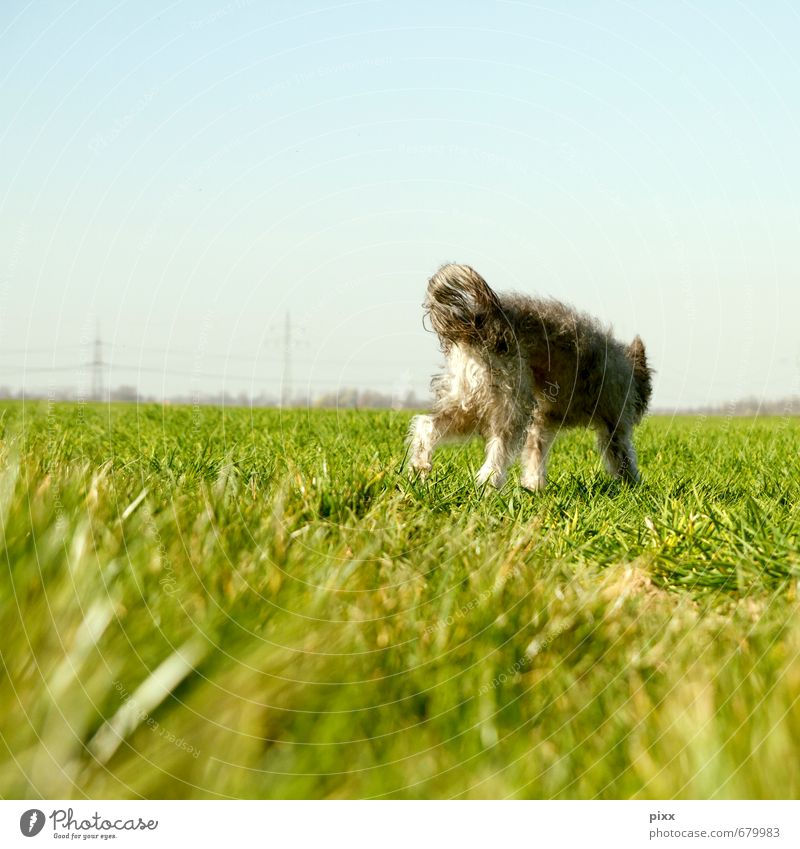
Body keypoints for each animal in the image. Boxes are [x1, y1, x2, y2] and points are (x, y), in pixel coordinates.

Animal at [410, 264, 652, 490]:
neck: (628, 369)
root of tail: (482, 322)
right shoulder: (615, 423)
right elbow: (623, 458)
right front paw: (634, 488)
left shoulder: (541, 424)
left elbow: (535, 454)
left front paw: (533, 488)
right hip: (510, 404)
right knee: (496, 454)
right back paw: (489, 486)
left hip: (467, 400)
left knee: (426, 425)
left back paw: (418, 468)